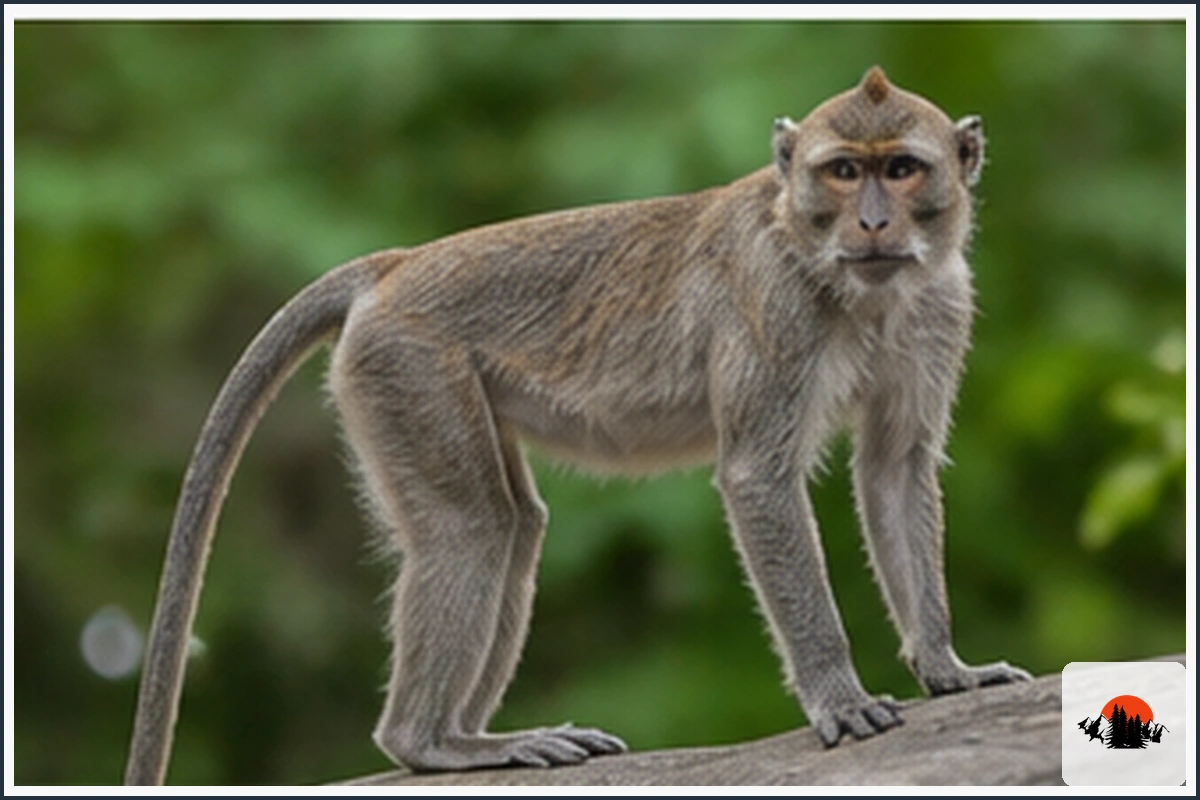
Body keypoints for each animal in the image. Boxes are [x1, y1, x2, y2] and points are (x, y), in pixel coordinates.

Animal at [124, 65, 1030, 784]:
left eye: (902, 170)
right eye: (843, 172)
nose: (873, 223)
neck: (847, 281)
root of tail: (394, 267)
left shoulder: (942, 307)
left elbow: (895, 467)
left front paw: (945, 666)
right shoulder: (774, 305)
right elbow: (758, 480)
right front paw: (838, 698)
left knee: (514, 526)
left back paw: (465, 732)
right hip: (409, 367)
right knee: (473, 529)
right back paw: (433, 744)